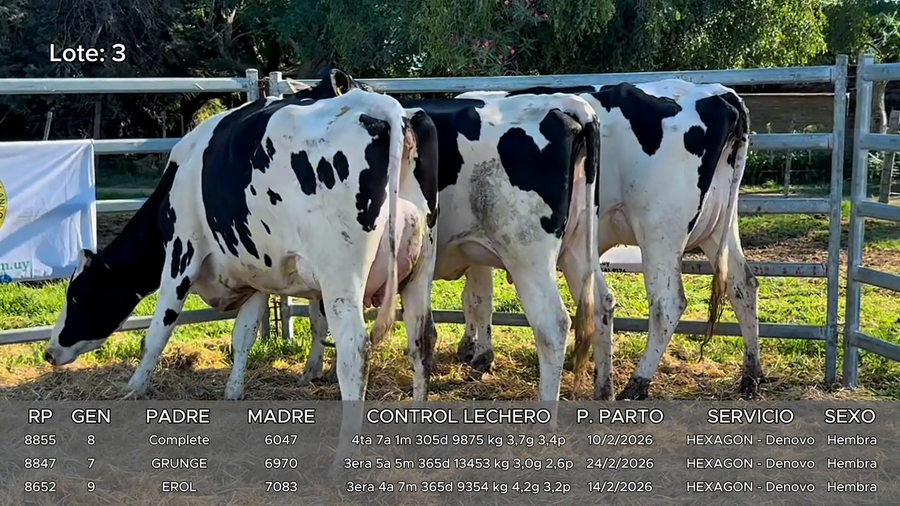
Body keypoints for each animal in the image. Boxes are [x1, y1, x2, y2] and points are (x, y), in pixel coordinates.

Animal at [43, 68, 441, 408]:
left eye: (76, 296)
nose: (49, 352)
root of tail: (384, 109)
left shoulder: (181, 254)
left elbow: (158, 331)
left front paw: (134, 388)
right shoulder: (258, 273)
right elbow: (243, 336)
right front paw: (234, 391)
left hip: (341, 275)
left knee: (354, 351)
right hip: (419, 268)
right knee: (421, 338)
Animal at [302, 92, 616, 407]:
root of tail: (568, 106)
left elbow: (320, 318)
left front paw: (315, 369)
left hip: (528, 257)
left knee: (553, 325)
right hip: (578, 248)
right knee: (602, 303)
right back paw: (605, 392)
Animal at [451, 80, 756, 401]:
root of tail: (718, 93)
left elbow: (478, 298)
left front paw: (479, 354)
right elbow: (474, 297)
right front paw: (471, 347)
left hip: (659, 229)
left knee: (667, 304)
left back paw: (637, 383)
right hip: (718, 225)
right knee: (743, 285)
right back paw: (751, 374)